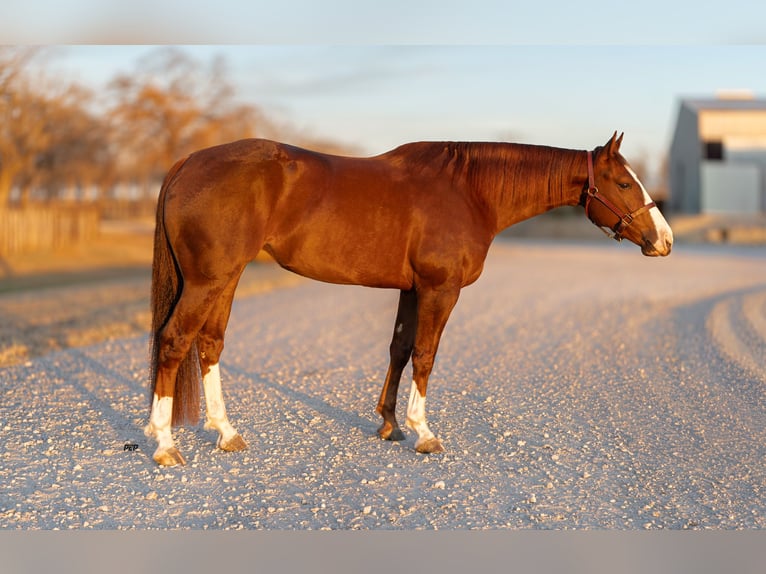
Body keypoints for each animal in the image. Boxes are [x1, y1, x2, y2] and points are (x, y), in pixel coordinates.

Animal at [144, 132, 673, 466]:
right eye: (624, 183)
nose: (664, 240)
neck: (469, 193)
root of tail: (188, 162)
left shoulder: (411, 289)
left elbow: (399, 349)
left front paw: (389, 425)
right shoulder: (440, 289)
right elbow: (425, 354)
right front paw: (423, 433)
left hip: (225, 277)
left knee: (209, 343)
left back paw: (225, 433)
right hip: (208, 280)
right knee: (174, 341)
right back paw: (165, 444)